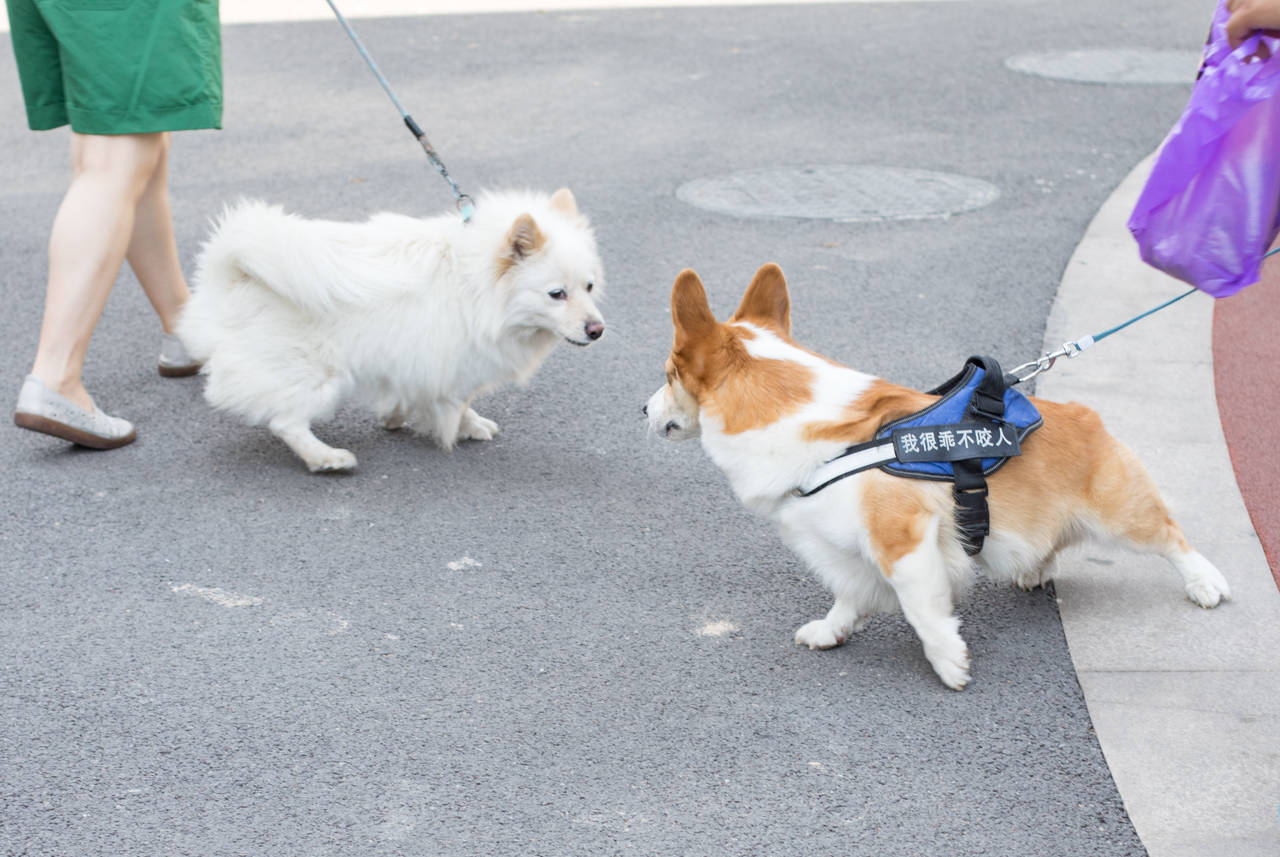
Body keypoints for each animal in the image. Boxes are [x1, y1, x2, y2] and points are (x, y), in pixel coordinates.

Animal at [176, 188, 609, 473]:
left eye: (589, 287)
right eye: (557, 294)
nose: (597, 329)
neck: (477, 284)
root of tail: (230, 275)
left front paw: (399, 417)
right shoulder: (452, 360)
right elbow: (458, 400)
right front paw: (463, 427)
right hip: (319, 375)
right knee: (286, 421)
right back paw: (327, 459)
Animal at [650, 263, 1228, 690]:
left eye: (668, 375)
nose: (642, 410)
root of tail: (1088, 416)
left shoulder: (904, 541)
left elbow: (923, 610)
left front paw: (950, 662)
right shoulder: (845, 549)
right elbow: (848, 597)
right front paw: (831, 631)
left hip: (1122, 516)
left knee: (1172, 538)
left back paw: (1205, 582)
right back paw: (1035, 568)